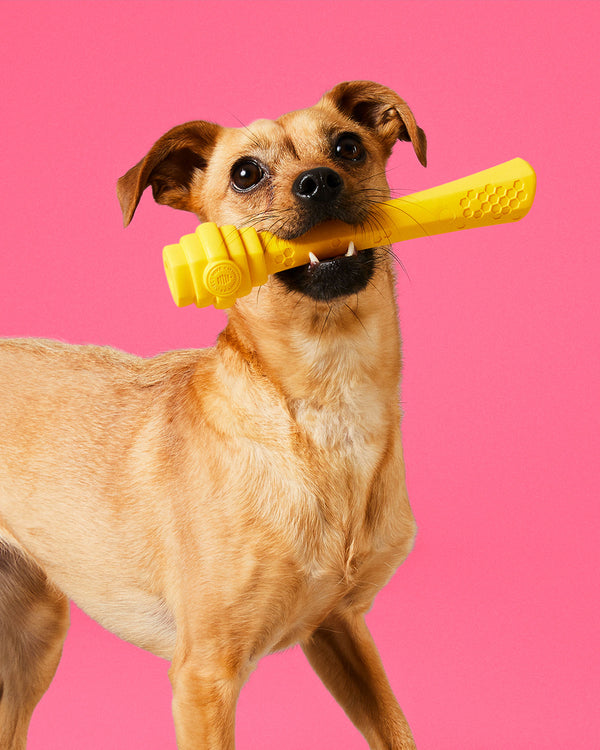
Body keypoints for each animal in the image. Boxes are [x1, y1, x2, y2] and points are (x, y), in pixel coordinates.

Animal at [2, 82, 428, 750]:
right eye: (245, 174)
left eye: (347, 146)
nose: (318, 182)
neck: (328, 398)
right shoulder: (206, 676)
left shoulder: (340, 628)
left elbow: (396, 730)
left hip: (33, 635)